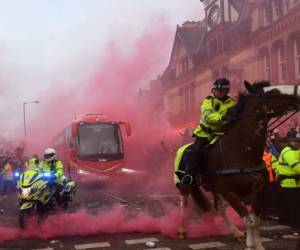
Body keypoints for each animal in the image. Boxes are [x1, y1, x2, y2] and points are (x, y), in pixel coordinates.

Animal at [177, 80, 300, 250]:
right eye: (273, 92)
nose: (299, 90)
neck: (242, 153)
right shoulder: (229, 192)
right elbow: (248, 220)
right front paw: (251, 244)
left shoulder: (259, 191)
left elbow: (256, 220)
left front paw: (258, 245)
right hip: (185, 184)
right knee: (183, 202)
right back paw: (182, 230)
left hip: (214, 188)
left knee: (220, 209)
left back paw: (236, 232)